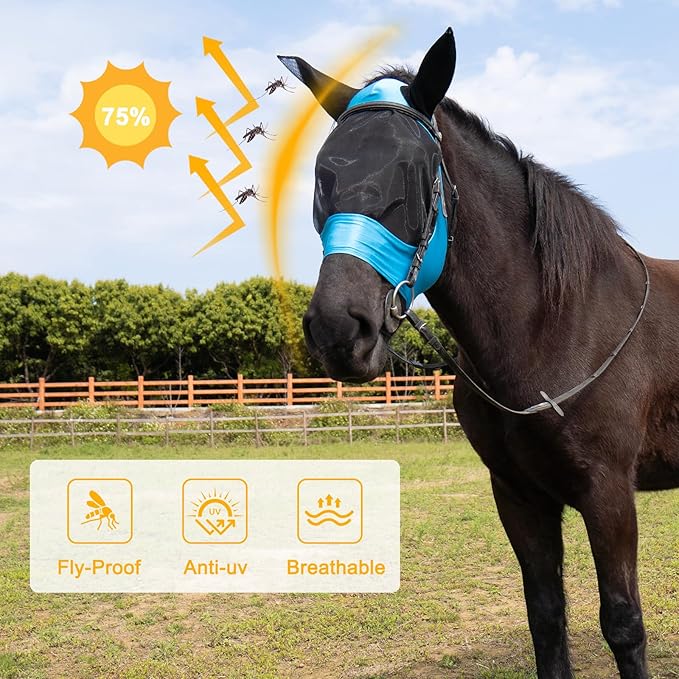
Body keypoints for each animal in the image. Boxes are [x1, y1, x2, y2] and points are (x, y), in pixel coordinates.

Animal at [280, 27, 679, 679]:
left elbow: (623, 624)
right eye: (322, 175)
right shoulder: (518, 496)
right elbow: (547, 619)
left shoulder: (609, 493)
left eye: (416, 174)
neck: (553, 326)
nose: (340, 329)